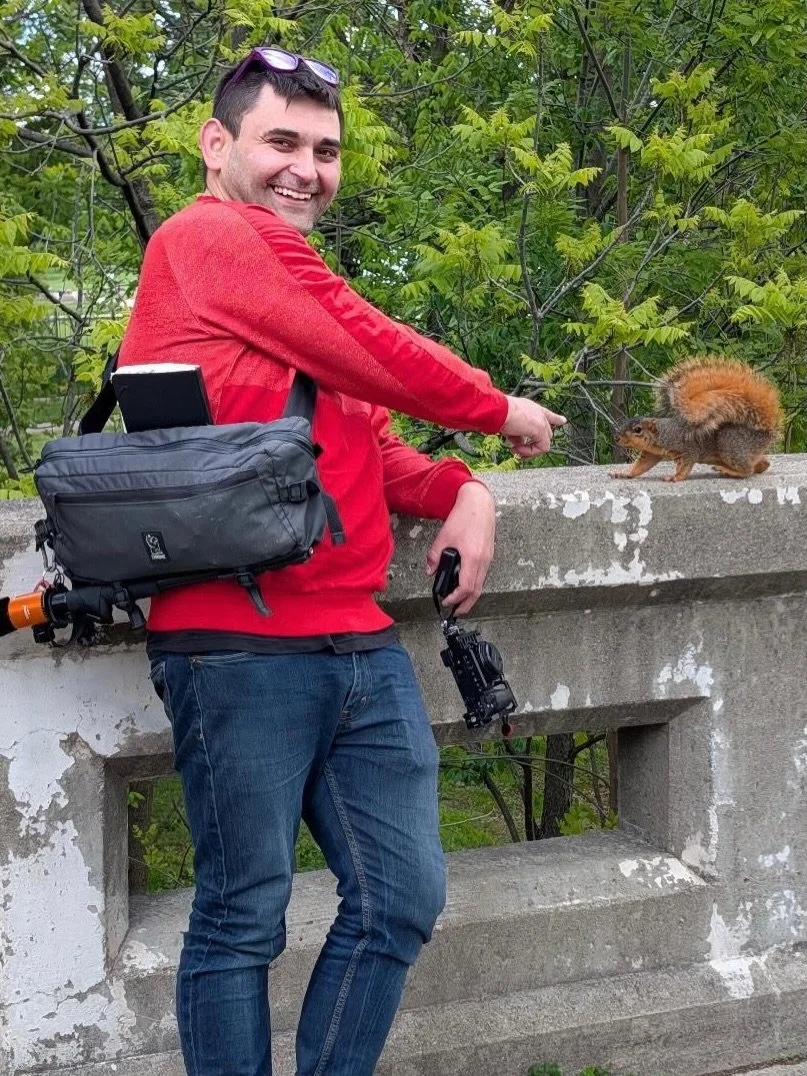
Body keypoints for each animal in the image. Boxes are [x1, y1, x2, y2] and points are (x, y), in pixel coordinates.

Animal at [609, 356, 783, 483]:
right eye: (623, 423)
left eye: (638, 430)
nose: (616, 438)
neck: (662, 434)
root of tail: (765, 432)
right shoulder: (651, 453)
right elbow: (641, 467)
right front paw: (623, 474)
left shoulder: (687, 450)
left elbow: (685, 466)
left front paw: (675, 477)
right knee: (762, 463)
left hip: (730, 445)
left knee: (747, 470)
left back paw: (728, 471)